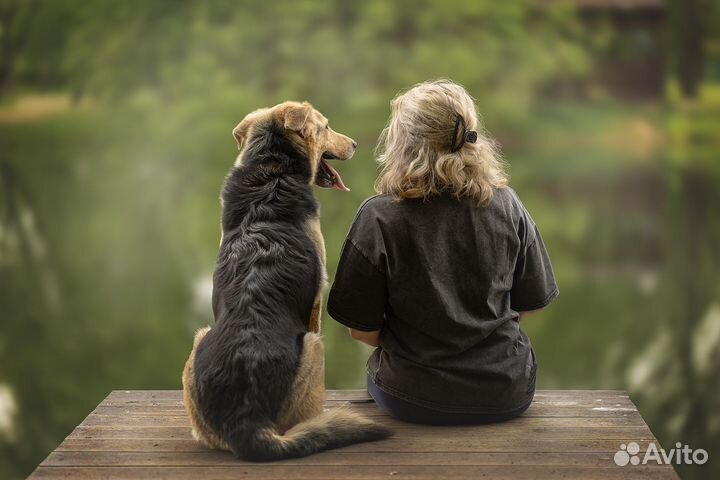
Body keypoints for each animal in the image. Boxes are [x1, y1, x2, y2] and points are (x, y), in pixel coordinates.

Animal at [183, 101, 390, 462]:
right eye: (326, 127)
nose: (354, 144)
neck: (273, 169)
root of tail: (245, 418)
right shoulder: (317, 303)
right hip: (313, 346)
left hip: (198, 342)